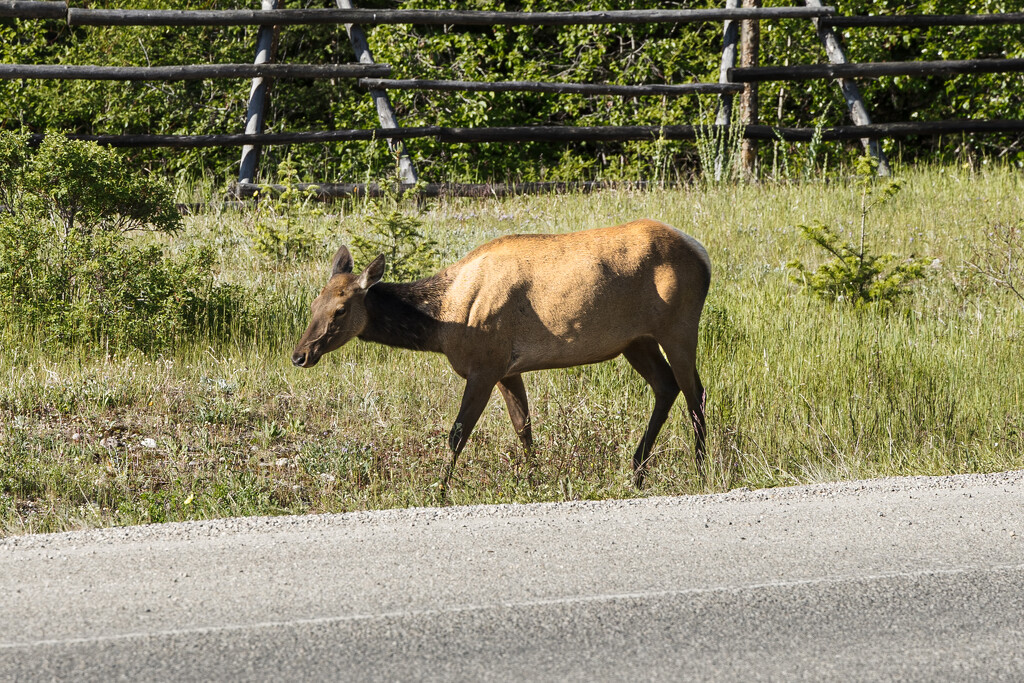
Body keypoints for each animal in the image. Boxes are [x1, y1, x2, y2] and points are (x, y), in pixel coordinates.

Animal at [290, 218, 712, 485]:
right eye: (313, 305)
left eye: (340, 309)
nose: (299, 355)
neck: (442, 324)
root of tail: (703, 254)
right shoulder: (509, 369)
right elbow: (524, 427)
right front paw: (536, 480)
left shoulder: (485, 365)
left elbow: (457, 434)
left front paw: (440, 488)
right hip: (636, 341)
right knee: (667, 387)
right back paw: (637, 470)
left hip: (678, 326)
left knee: (696, 391)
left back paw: (701, 468)